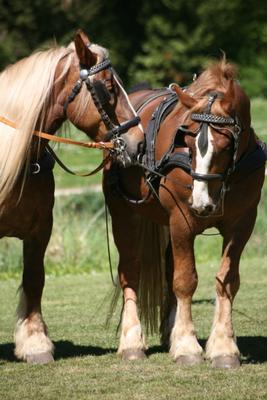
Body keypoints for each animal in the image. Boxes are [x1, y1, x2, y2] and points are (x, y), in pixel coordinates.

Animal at [103, 59, 266, 368]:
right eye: (188, 145)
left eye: (225, 146)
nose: (201, 203)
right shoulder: (181, 220)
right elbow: (185, 280)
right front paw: (188, 346)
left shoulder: (242, 224)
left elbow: (227, 280)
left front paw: (223, 346)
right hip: (125, 215)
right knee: (130, 270)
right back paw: (132, 341)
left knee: (168, 269)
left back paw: (171, 332)